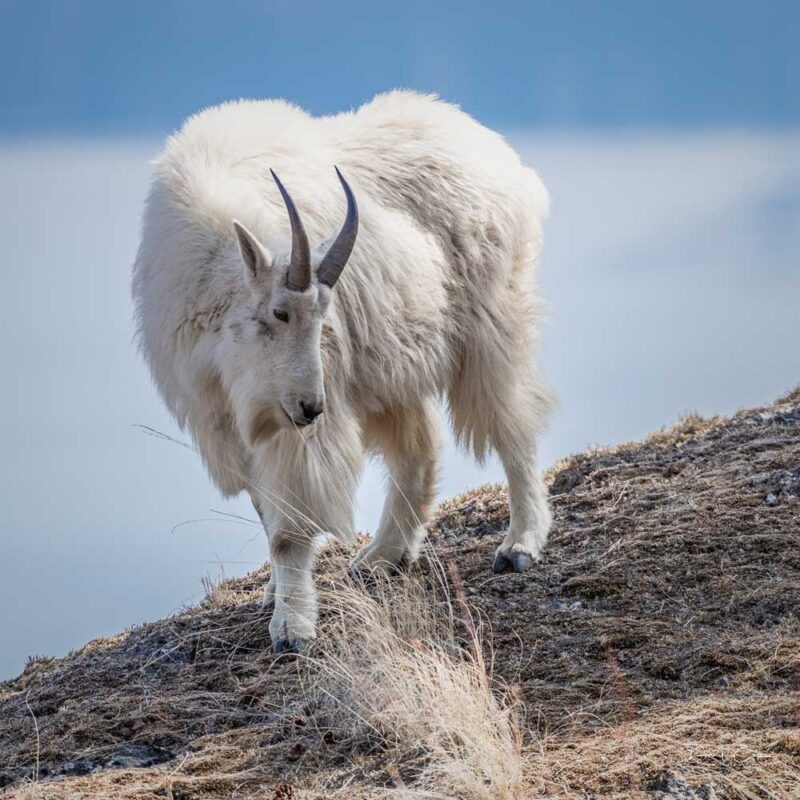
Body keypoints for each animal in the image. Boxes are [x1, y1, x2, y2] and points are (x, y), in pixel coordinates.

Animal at [133, 90, 556, 652]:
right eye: (280, 313)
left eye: (322, 315)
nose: (312, 406)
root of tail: (501, 156)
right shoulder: (228, 417)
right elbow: (265, 511)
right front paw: (275, 595)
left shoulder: (294, 429)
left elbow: (288, 529)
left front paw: (292, 628)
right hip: (395, 359)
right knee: (418, 449)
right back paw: (383, 556)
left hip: (492, 324)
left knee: (513, 423)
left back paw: (519, 545)